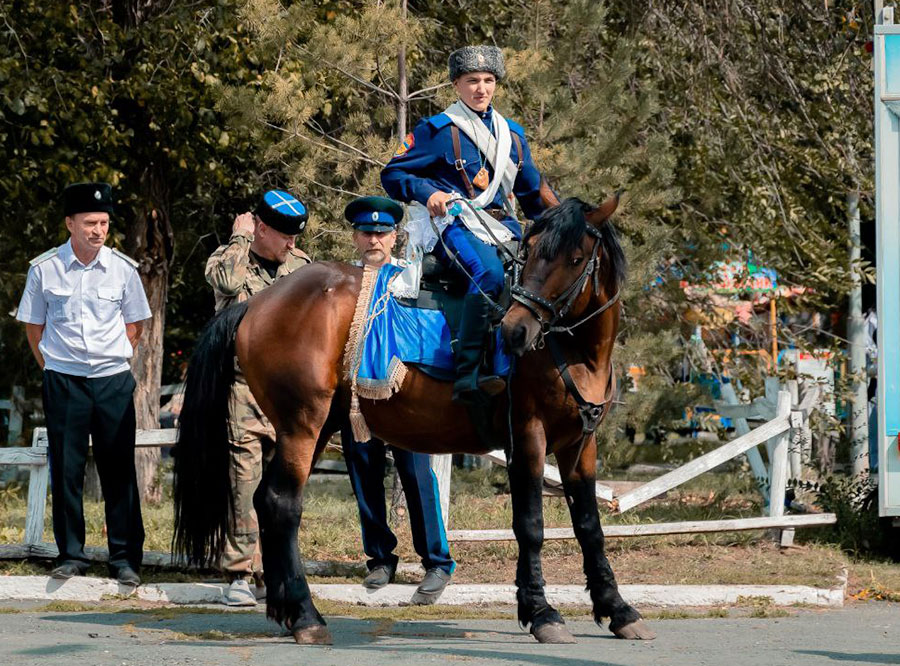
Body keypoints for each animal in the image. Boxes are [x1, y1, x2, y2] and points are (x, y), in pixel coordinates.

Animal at [174, 196, 652, 644]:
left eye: (575, 258)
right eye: (530, 252)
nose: (515, 331)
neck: (574, 352)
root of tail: (257, 302)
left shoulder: (580, 445)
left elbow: (589, 526)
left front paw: (617, 609)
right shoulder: (528, 438)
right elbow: (531, 526)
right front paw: (541, 613)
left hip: (316, 426)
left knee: (265, 502)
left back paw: (285, 610)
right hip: (301, 426)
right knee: (282, 504)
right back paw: (306, 616)